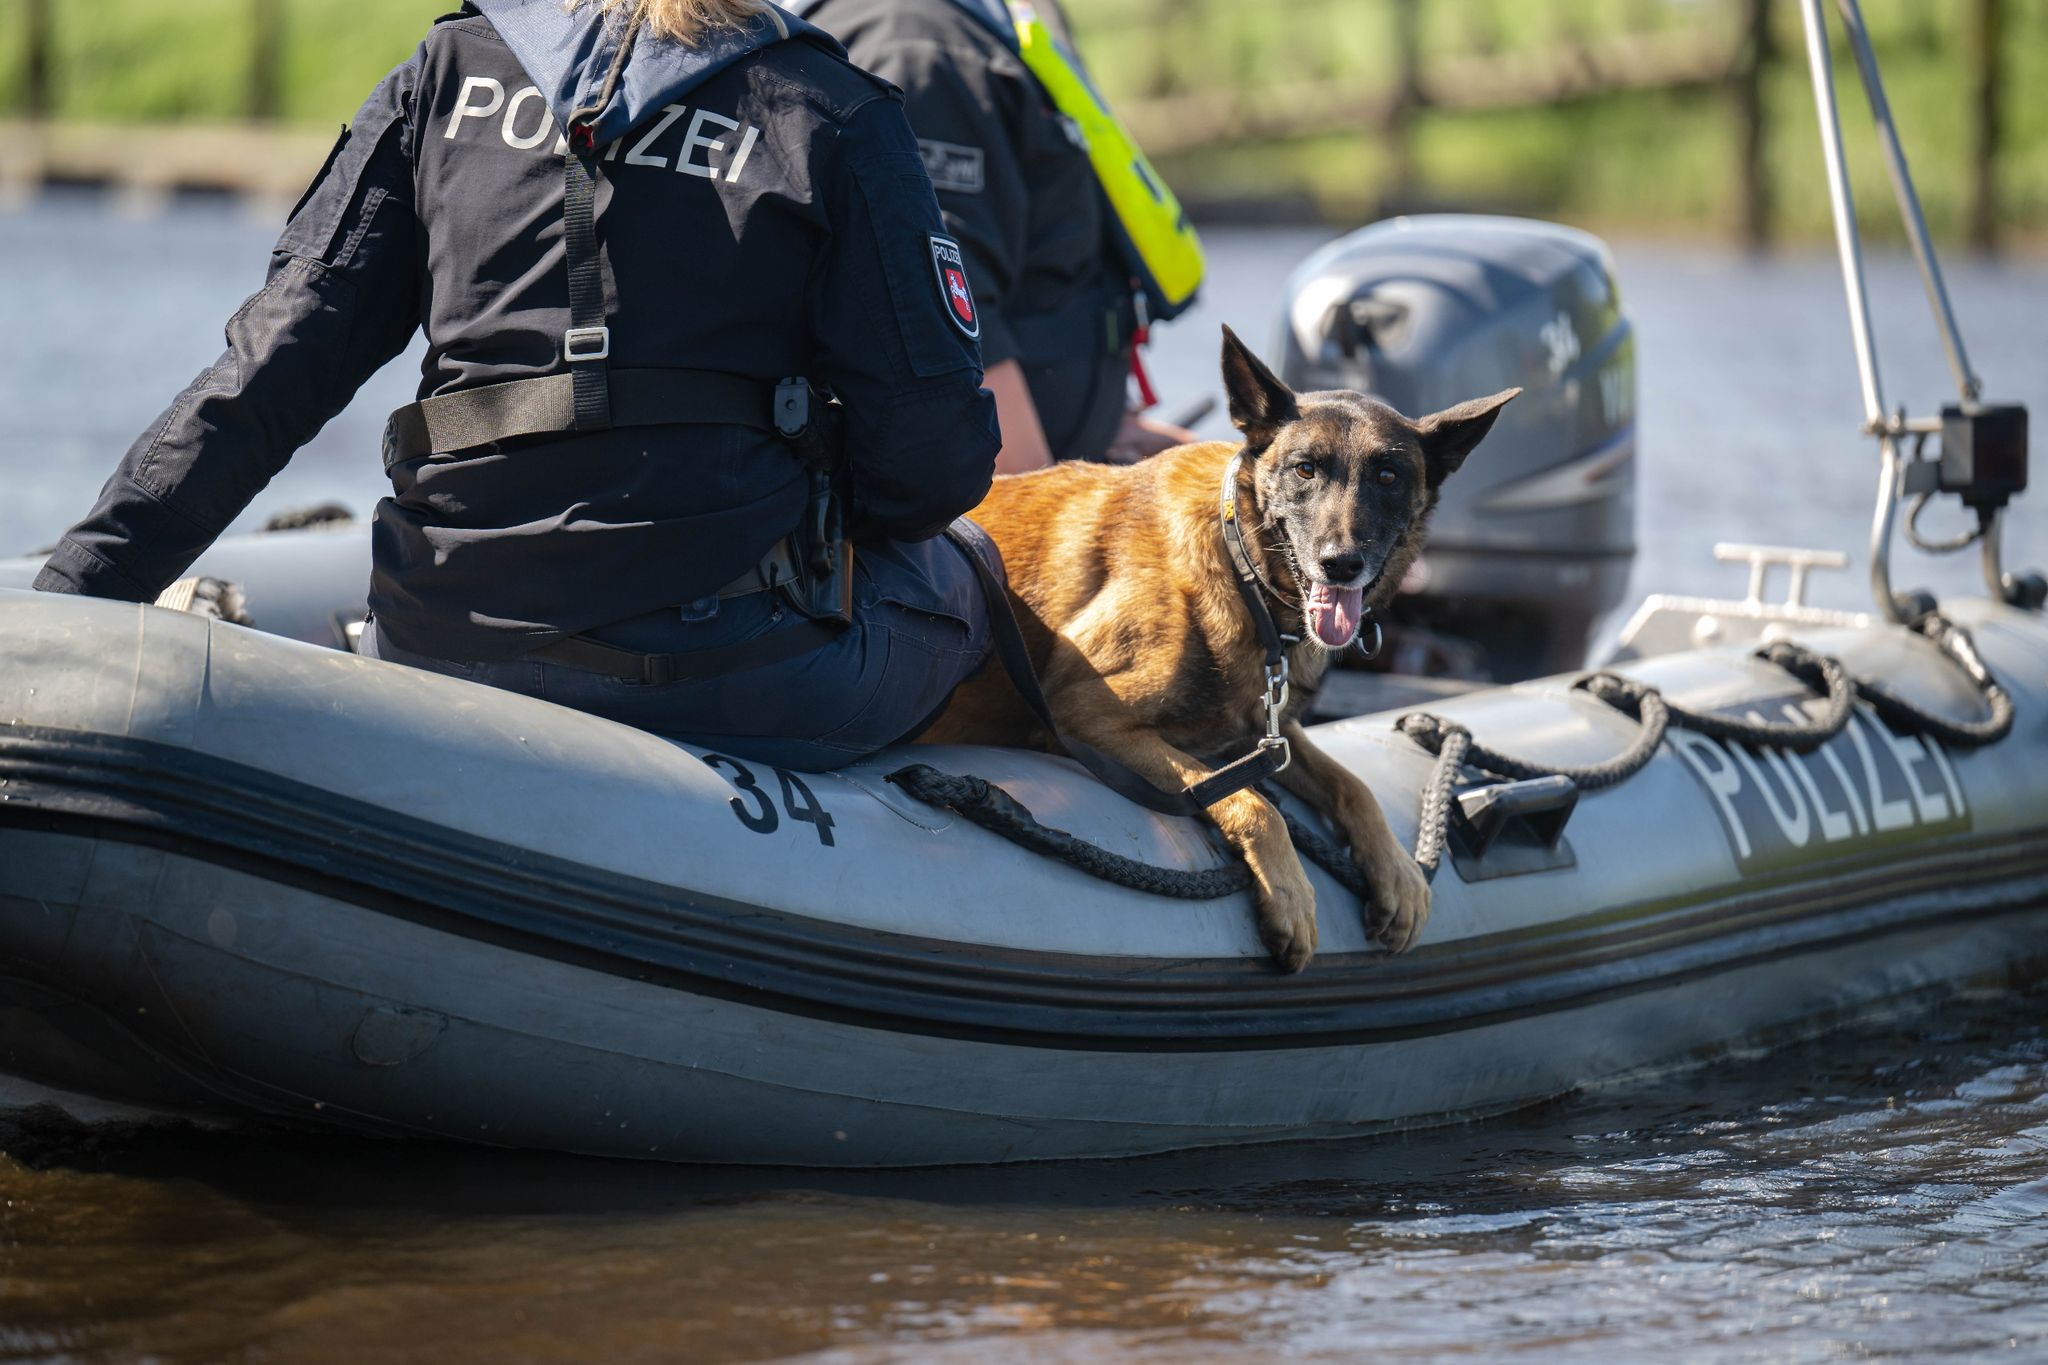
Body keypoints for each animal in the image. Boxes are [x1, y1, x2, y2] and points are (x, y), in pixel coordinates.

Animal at [921, 327, 1515, 970]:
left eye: (1388, 477)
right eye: (1305, 469)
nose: (1340, 563)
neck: (1243, 570)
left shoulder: (1268, 732)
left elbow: (1351, 784)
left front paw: (1399, 873)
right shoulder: (1086, 717)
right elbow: (1253, 801)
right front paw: (1290, 894)